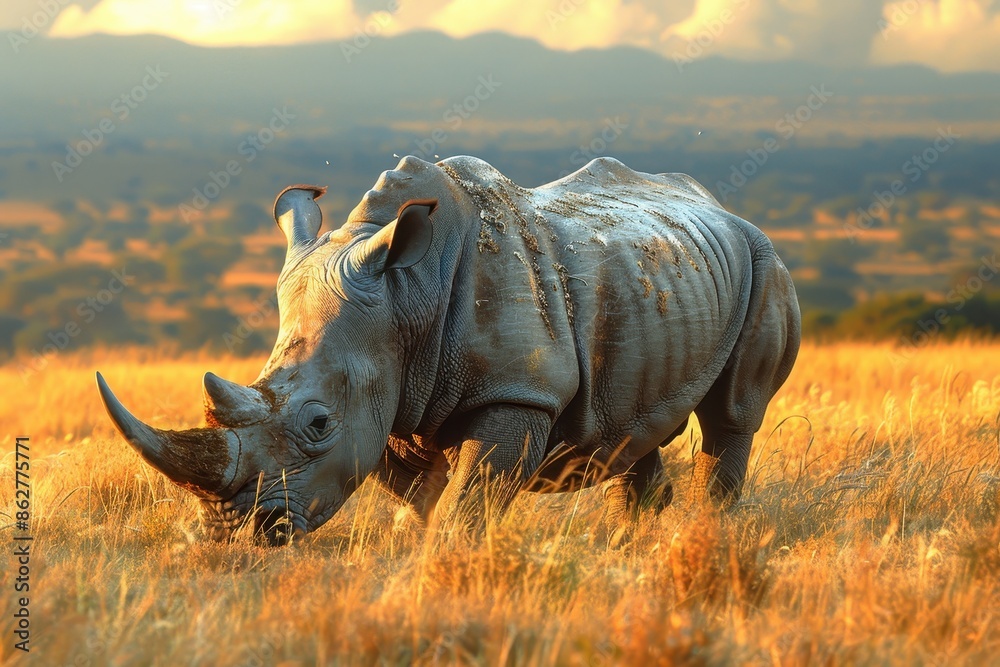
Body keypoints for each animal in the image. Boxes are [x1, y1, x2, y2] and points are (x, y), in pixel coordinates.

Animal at [96, 155, 800, 545]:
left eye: (318, 423)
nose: (235, 532)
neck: (407, 295)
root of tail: (719, 206)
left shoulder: (517, 390)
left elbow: (473, 498)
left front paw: (447, 557)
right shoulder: (392, 390)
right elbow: (418, 495)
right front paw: (412, 548)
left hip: (765, 260)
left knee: (732, 415)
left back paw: (709, 532)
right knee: (632, 427)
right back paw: (640, 539)